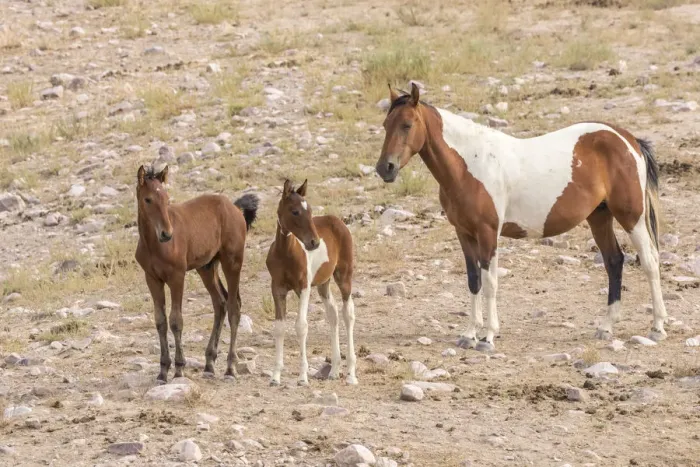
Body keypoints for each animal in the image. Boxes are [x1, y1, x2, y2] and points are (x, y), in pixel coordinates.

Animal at [134, 165, 258, 383]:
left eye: (167, 199)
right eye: (148, 199)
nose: (167, 234)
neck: (154, 245)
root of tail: (234, 208)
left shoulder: (177, 277)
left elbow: (176, 321)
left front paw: (179, 368)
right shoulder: (152, 279)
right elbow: (160, 321)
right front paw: (162, 370)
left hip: (232, 262)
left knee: (234, 307)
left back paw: (230, 368)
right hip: (207, 268)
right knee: (220, 303)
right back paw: (209, 363)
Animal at [265, 179, 357, 386]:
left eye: (310, 210)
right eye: (295, 211)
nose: (314, 243)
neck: (286, 253)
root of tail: (337, 220)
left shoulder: (304, 288)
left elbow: (301, 326)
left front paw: (302, 377)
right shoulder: (278, 288)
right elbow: (279, 327)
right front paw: (275, 376)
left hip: (344, 276)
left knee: (348, 313)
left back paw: (351, 374)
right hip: (323, 283)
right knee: (333, 313)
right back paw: (334, 371)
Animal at [375, 83, 667, 351]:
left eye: (407, 125)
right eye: (386, 124)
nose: (384, 168)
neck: (471, 165)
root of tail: (628, 140)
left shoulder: (488, 232)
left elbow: (490, 282)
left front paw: (488, 337)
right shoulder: (464, 233)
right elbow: (473, 280)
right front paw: (469, 334)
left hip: (631, 217)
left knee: (650, 261)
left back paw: (657, 327)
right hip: (599, 217)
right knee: (614, 261)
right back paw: (606, 327)